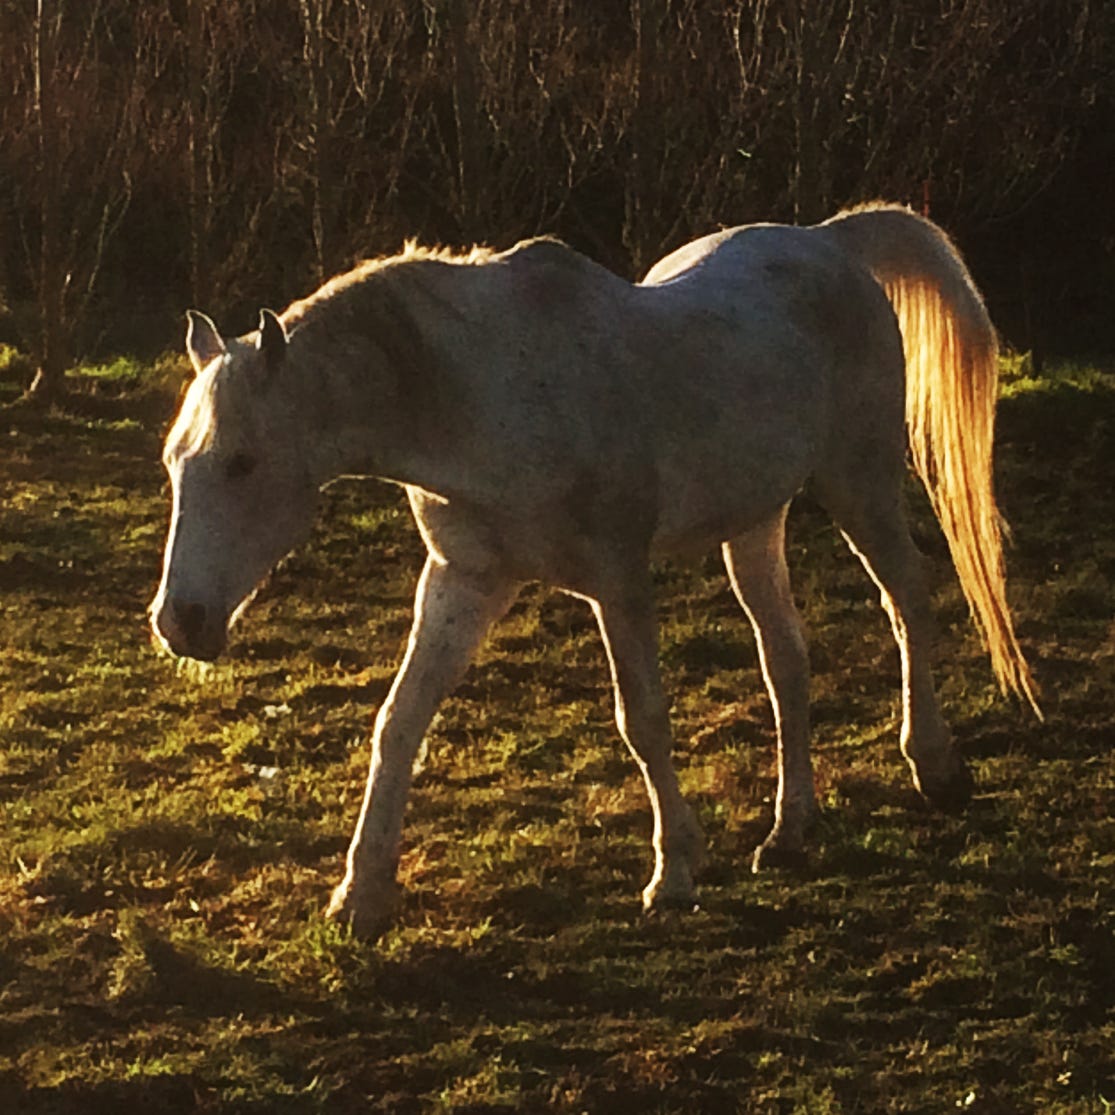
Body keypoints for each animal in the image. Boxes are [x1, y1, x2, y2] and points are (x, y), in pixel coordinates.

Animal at [150, 203, 1039, 939]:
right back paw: (790, 831)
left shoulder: (617, 580)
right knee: (785, 658)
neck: (483, 395)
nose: (178, 621)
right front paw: (360, 897)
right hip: (753, 523)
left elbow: (640, 719)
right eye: (173, 462)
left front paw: (673, 872)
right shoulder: (463, 580)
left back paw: (935, 767)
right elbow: (398, 722)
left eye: (241, 462)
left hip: (858, 481)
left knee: (907, 602)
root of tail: (828, 243)